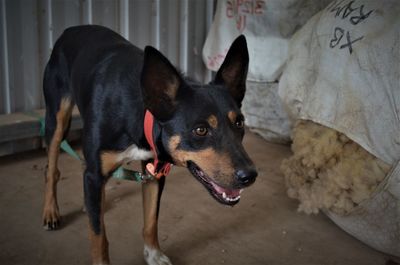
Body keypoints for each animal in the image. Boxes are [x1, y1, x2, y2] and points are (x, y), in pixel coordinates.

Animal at [43, 25, 256, 264]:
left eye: (239, 123)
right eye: (200, 130)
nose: (250, 176)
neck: (140, 111)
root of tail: (70, 30)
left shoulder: (154, 172)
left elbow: (151, 220)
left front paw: (153, 254)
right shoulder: (96, 172)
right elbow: (99, 237)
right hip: (56, 119)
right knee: (51, 168)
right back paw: (51, 211)